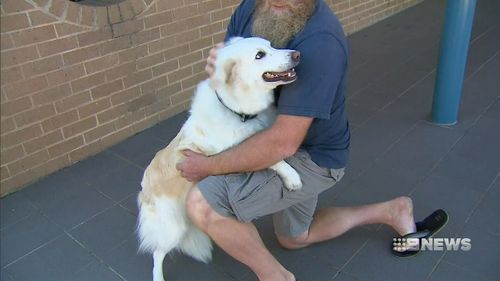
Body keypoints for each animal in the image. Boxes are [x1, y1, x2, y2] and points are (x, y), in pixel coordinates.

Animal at [136, 37, 300, 280]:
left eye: (272, 46)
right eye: (259, 55)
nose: (297, 54)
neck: (238, 112)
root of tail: (144, 188)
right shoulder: (231, 151)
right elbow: (273, 159)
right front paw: (292, 177)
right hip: (172, 228)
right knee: (157, 253)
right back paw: (158, 276)